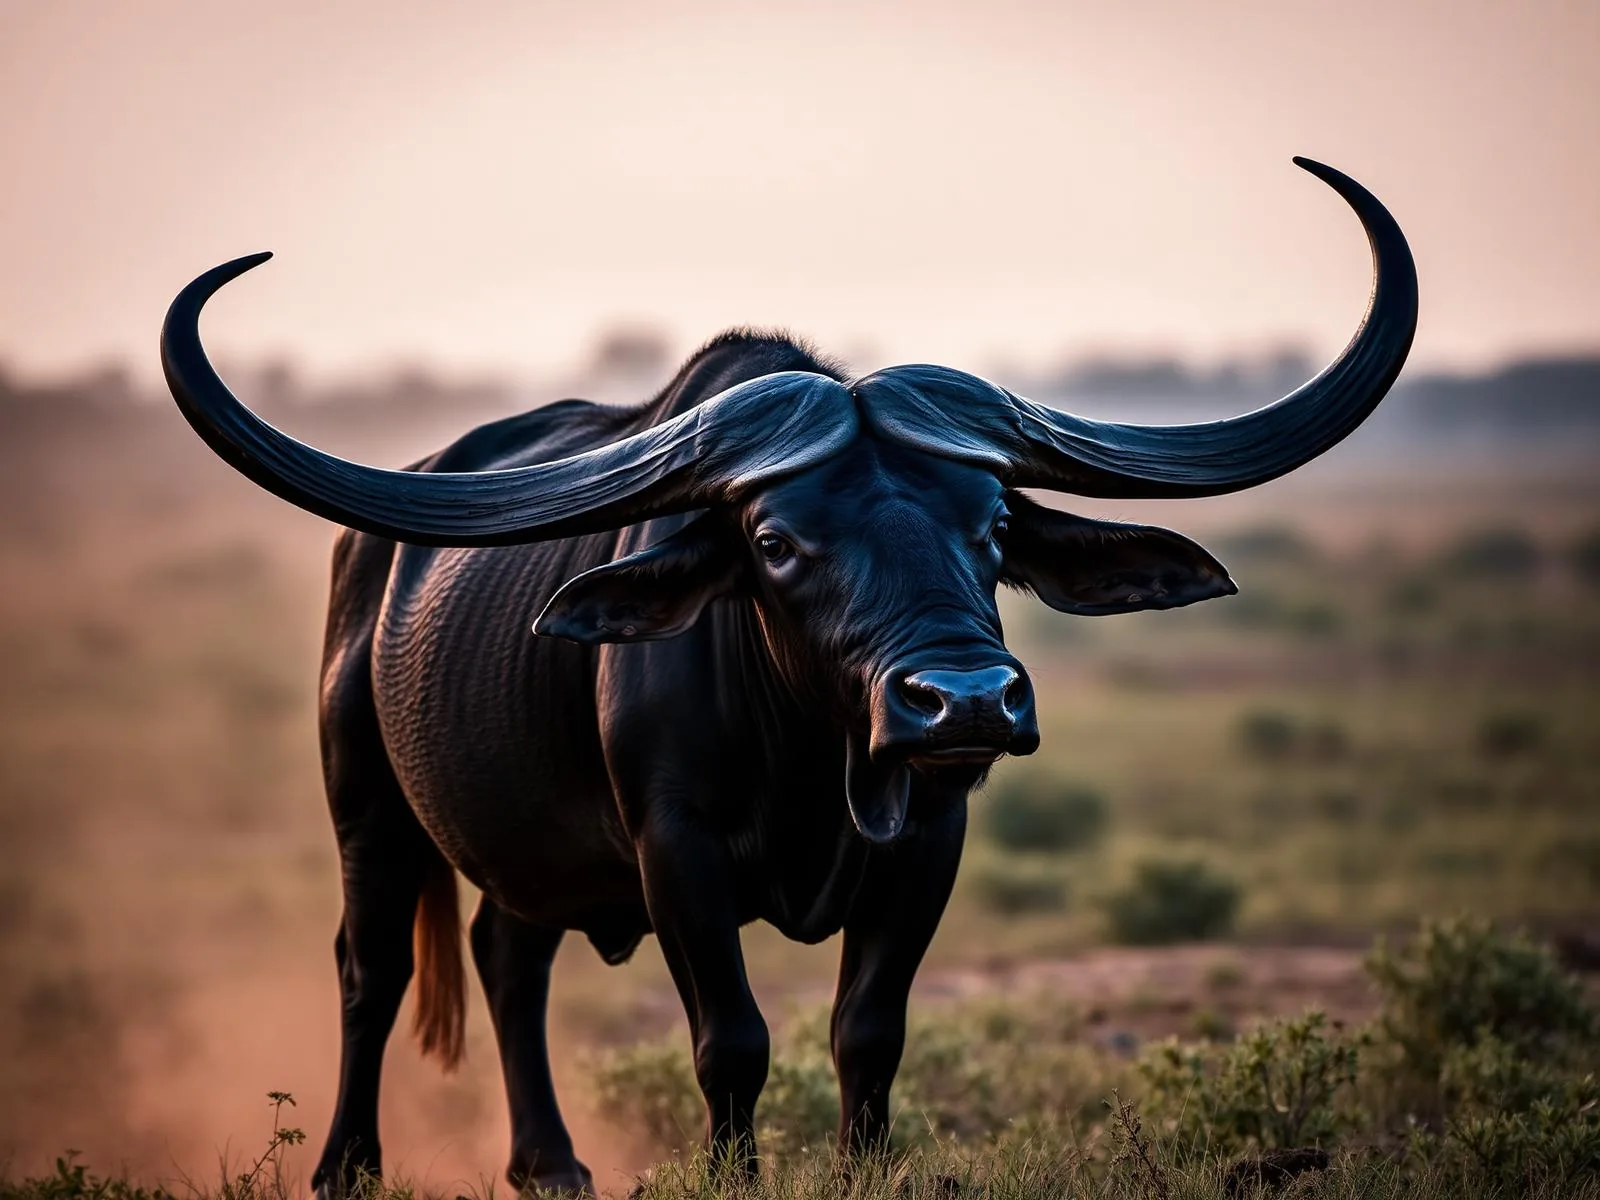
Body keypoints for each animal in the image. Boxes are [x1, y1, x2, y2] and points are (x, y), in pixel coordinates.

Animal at [160, 157, 1415, 1194]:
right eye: (776, 540)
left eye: (992, 524)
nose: (965, 700)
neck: (812, 757)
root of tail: (370, 555)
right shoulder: (676, 853)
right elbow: (733, 1039)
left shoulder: (928, 844)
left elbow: (869, 1028)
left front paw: (866, 1169)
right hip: (366, 806)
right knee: (368, 969)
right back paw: (347, 1169)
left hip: (526, 846)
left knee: (508, 957)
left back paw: (552, 1167)